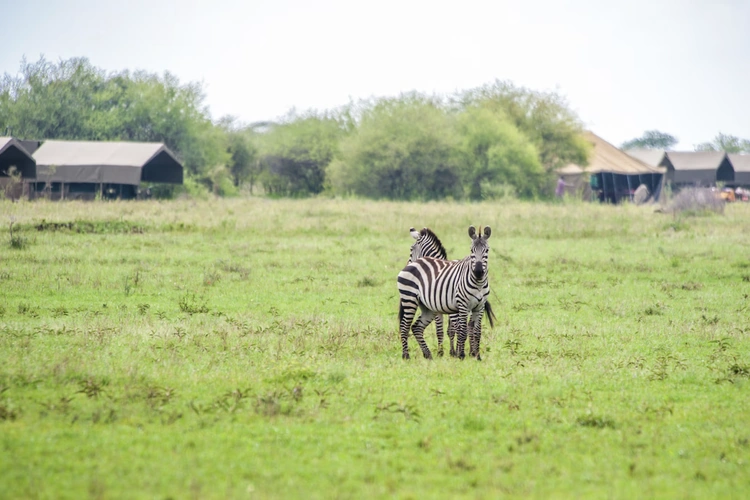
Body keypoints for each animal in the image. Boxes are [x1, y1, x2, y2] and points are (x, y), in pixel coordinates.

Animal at [398, 225, 492, 360]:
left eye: (487, 250)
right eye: (471, 250)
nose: (479, 272)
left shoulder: (479, 306)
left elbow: (474, 331)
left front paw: (474, 356)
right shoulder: (458, 307)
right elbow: (452, 330)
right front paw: (456, 354)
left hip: (427, 307)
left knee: (415, 327)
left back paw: (428, 354)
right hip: (410, 299)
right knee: (404, 326)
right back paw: (406, 355)